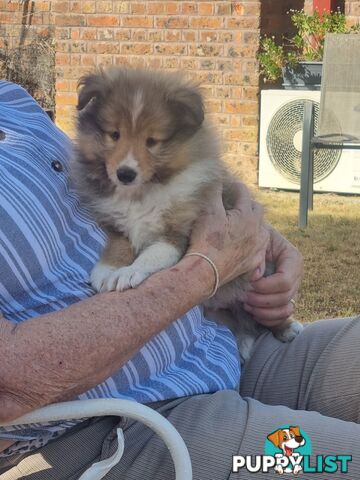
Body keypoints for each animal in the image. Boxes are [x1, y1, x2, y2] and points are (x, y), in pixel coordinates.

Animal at [71, 66, 300, 360]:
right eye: (114, 134)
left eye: (152, 141)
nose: (125, 174)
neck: (142, 192)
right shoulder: (116, 224)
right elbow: (118, 246)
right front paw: (106, 271)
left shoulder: (175, 234)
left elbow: (150, 256)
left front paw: (127, 273)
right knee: (243, 326)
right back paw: (242, 342)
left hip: (261, 280)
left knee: (264, 317)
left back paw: (287, 328)